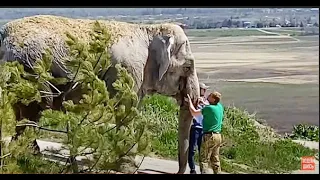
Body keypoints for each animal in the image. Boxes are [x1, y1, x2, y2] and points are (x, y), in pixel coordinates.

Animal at [0, 15, 200, 173]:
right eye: (188, 67)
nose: (178, 172)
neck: (150, 31)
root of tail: (5, 33)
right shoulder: (128, 70)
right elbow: (126, 108)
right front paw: (127, 168)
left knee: (22, 111)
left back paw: (24, 155)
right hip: (31, 67)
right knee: (33, 109)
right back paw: (28, 157)